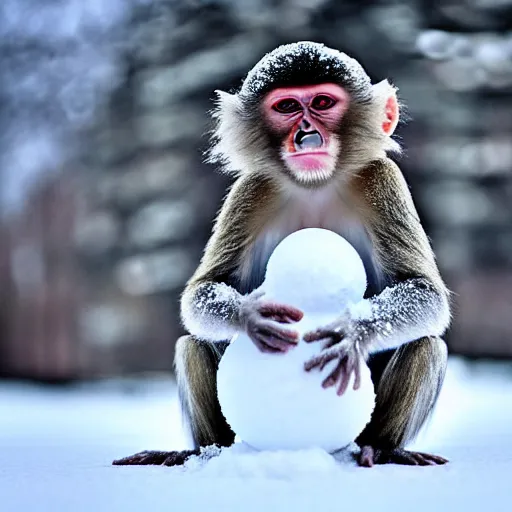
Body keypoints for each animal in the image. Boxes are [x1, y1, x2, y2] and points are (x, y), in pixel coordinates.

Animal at [114, 42, 450, 470]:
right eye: (287, 106)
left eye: (322, 102)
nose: (306, 133)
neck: (315, 185)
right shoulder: (252, 190)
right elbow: (203, 291)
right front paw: (250, 316)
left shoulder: (381, 180)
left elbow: (426, 293)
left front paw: (351, 330)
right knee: (191, 342)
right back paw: (205, 451)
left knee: (427, 343)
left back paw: (384, 449)